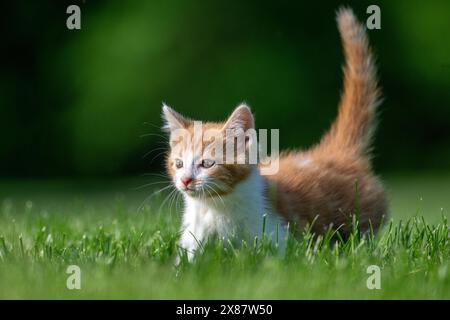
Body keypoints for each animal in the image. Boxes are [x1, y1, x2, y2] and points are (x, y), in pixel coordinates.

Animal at [161, 8, 386, 262]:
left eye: (207, 163)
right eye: (178, 164)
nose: (185, 180)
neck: (215, 208)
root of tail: (336, 153)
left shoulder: (278, 235)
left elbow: (278, 260)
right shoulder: (193, 237)